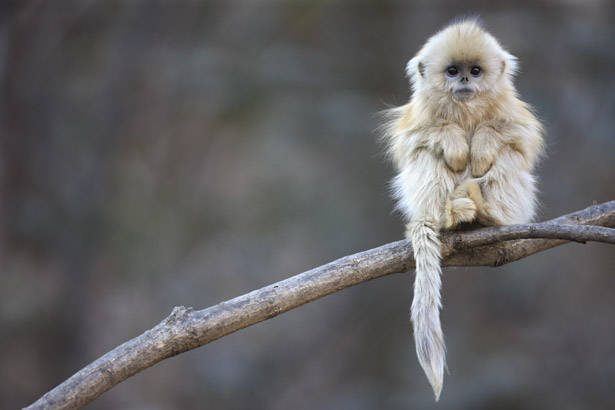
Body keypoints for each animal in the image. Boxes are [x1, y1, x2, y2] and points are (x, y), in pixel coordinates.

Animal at [382, 19, 548, 400]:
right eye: (452, 71)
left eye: (475, 71)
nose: (464, 83)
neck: (466, 109)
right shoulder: (419, 116)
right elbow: (413, 141)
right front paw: (455, 143)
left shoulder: (511, 111)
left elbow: (520, 138)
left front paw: (483, 144)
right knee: (425, 155)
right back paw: (450, 216)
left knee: (509, 155)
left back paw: (488, 213)